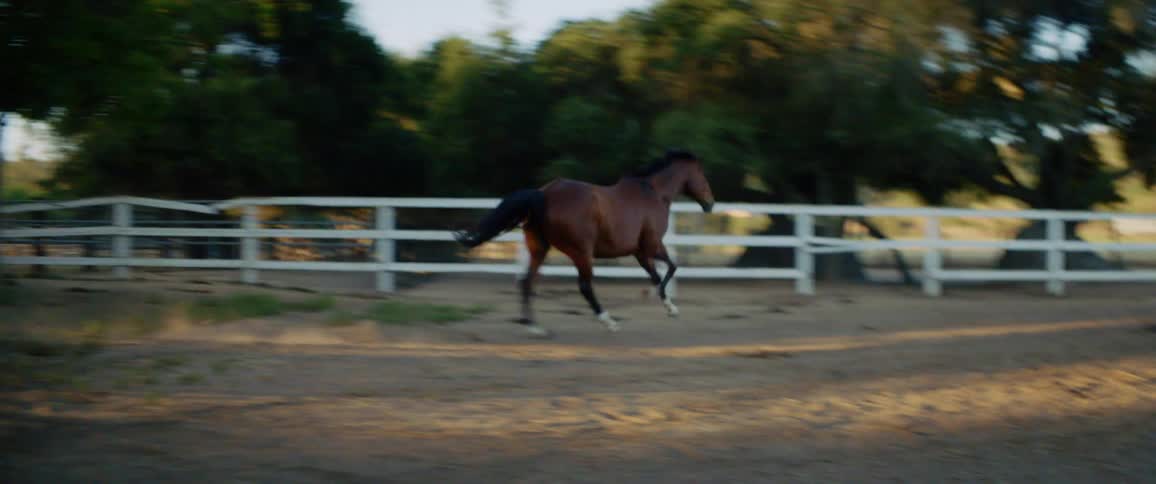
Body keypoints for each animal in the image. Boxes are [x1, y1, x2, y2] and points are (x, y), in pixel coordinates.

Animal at [453, 149, 716, 338]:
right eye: (702, 174)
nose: (710, 203)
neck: (653, 193)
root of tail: (543, 194)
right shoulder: (651, 246)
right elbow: (671, 267)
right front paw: (670, 306)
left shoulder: (640, 253)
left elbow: (656, 275)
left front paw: (671, 308)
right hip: (581, 252)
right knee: (585, 287)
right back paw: (609, 322)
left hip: (540, 250)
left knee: (527, 282)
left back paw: (535, 328)